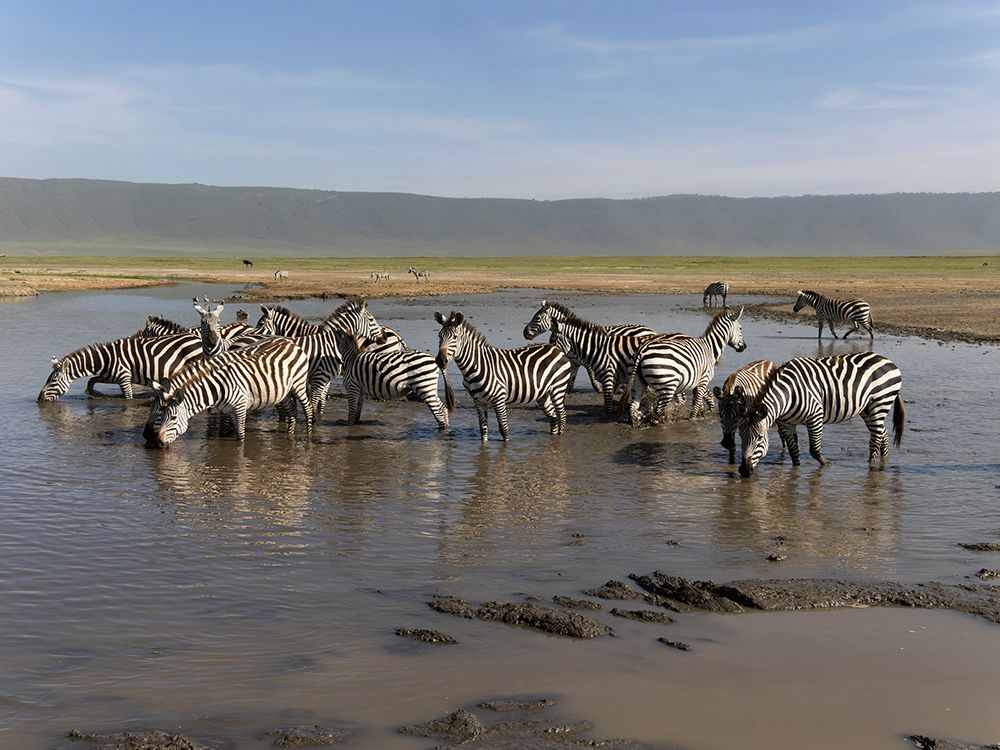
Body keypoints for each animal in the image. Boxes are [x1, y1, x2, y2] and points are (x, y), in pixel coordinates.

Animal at [38, 332, 203, 401]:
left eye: (53, 381)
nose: (39, 398)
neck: (105, 360)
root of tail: (197, 337)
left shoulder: (124, 378)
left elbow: (128, 398)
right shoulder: (112, 376)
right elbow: (91, 380)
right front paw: (94, 394)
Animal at [148, 338, 314, 447]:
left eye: (172, 417)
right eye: (162, 412)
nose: (158, 442)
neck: (215, 388)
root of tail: (290, 342)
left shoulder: (240, 406)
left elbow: (240, 435)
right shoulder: (228, 410)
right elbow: (235, 430)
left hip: (298, 384)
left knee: (308, 410)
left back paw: (309, 437)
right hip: (282, 391)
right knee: (292, 411)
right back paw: (289, 435)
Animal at [435, 310, 573, 441]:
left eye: (455, 337)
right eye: (439, 336)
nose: (440, 361)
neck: (476, 366)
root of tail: (556, 349)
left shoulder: (499, 399)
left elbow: (503, 429)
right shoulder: (478, 401)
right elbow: (483, 429)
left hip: (558, 388)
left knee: (562, 415)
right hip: (543, 395)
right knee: (553, 418)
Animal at [522, 300, 656, 395]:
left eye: (537, 318)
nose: (524, 333)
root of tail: (650, 330)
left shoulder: (588, 359)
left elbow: (592, 376)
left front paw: (599, 388)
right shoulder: (573, 362)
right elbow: (570, 381)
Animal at [738, 352, 904, 477]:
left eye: (760, 438)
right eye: (741, 436)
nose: (744, 471)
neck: (788, 395)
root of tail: (888, 360)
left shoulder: (815, 416)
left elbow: (814, 450)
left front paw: (826, 464)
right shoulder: (786, 424)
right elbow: (793, 452)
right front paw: (795, 472)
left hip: (880, 403)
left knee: (875, 439)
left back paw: (871, 465)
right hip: (867, 409)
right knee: (882, 433)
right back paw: (884, 459)